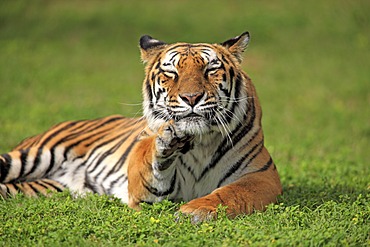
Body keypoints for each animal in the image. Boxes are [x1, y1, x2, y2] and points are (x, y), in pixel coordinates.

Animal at [0, 31, 282, 224]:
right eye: (172, 73)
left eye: (210, 69)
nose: (191, 98)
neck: (200, 142)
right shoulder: (146, 192)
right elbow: (152, 164)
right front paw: (166, 143)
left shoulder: (261, 176)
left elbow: (232, 193)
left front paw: (195, 210)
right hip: (29, 157)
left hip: (44, 188)